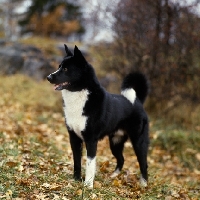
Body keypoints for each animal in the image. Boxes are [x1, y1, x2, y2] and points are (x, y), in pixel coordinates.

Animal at [47, 44, 149, 188]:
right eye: (59, 66)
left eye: (66, 69)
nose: (48, 77)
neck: (80, 94)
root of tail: (138, 101)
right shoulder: (74, 138)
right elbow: (77, 161)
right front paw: (76, 179)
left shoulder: (91, 140)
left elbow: (90, 164)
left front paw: (88, 185)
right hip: (115, 142)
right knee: (121, 159)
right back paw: (113, 177)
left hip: (139, 142)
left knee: (143, 163)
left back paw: (143, 185)